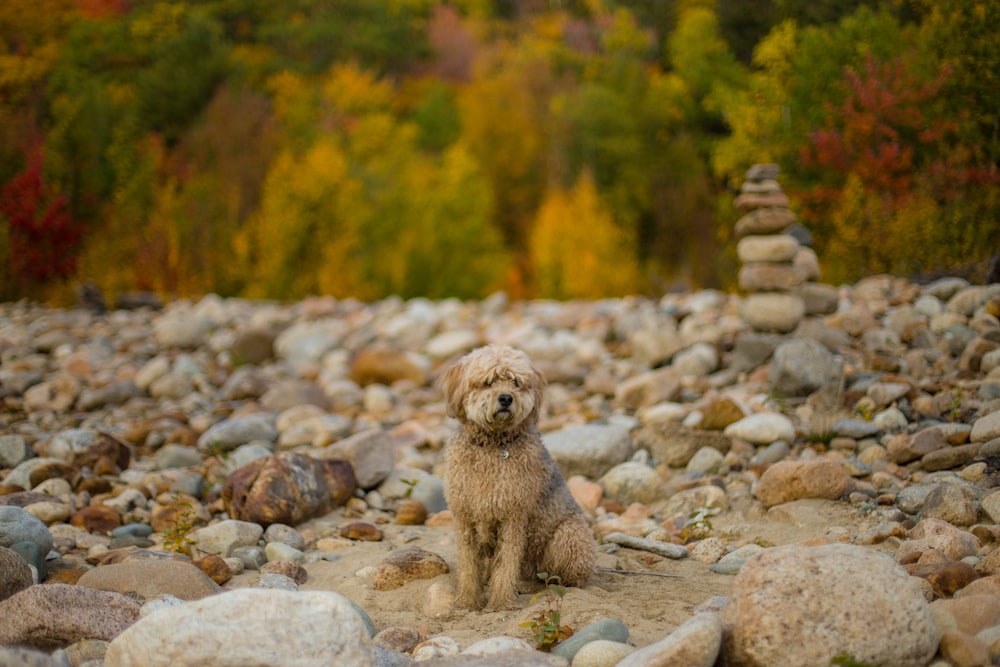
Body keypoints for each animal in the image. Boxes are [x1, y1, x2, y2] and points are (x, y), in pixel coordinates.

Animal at [438, 344, 592, 612]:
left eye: (516, 382)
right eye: (488, 382)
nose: (506, 398)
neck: (492, 445)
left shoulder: (513, 517)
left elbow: (507, 564)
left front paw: (500, 603)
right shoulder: (465, 517)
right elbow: (468, 566)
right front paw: (467, 601)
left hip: (567, 537)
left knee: (559, 580)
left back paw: (527, 585)